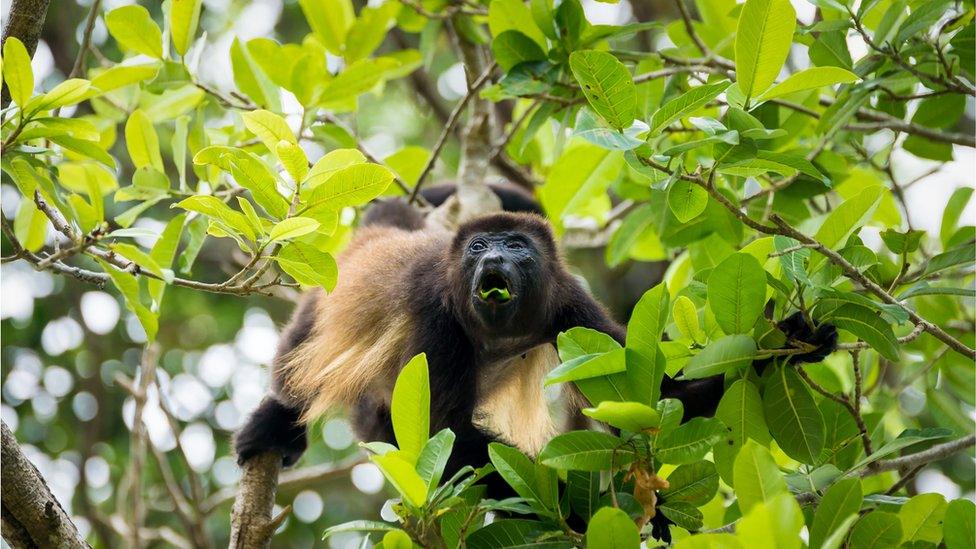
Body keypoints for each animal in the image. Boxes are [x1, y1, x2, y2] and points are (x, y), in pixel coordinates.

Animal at [236, 191, 840, 498]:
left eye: (516, 246)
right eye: (479, 246)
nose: (493, 258)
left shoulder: (571, 305)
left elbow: (660, 399)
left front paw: (793, 341)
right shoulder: (437, 313)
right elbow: (443, 433)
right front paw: (573, 510)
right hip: (318, 301)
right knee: (296, 368)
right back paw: (277, 421)